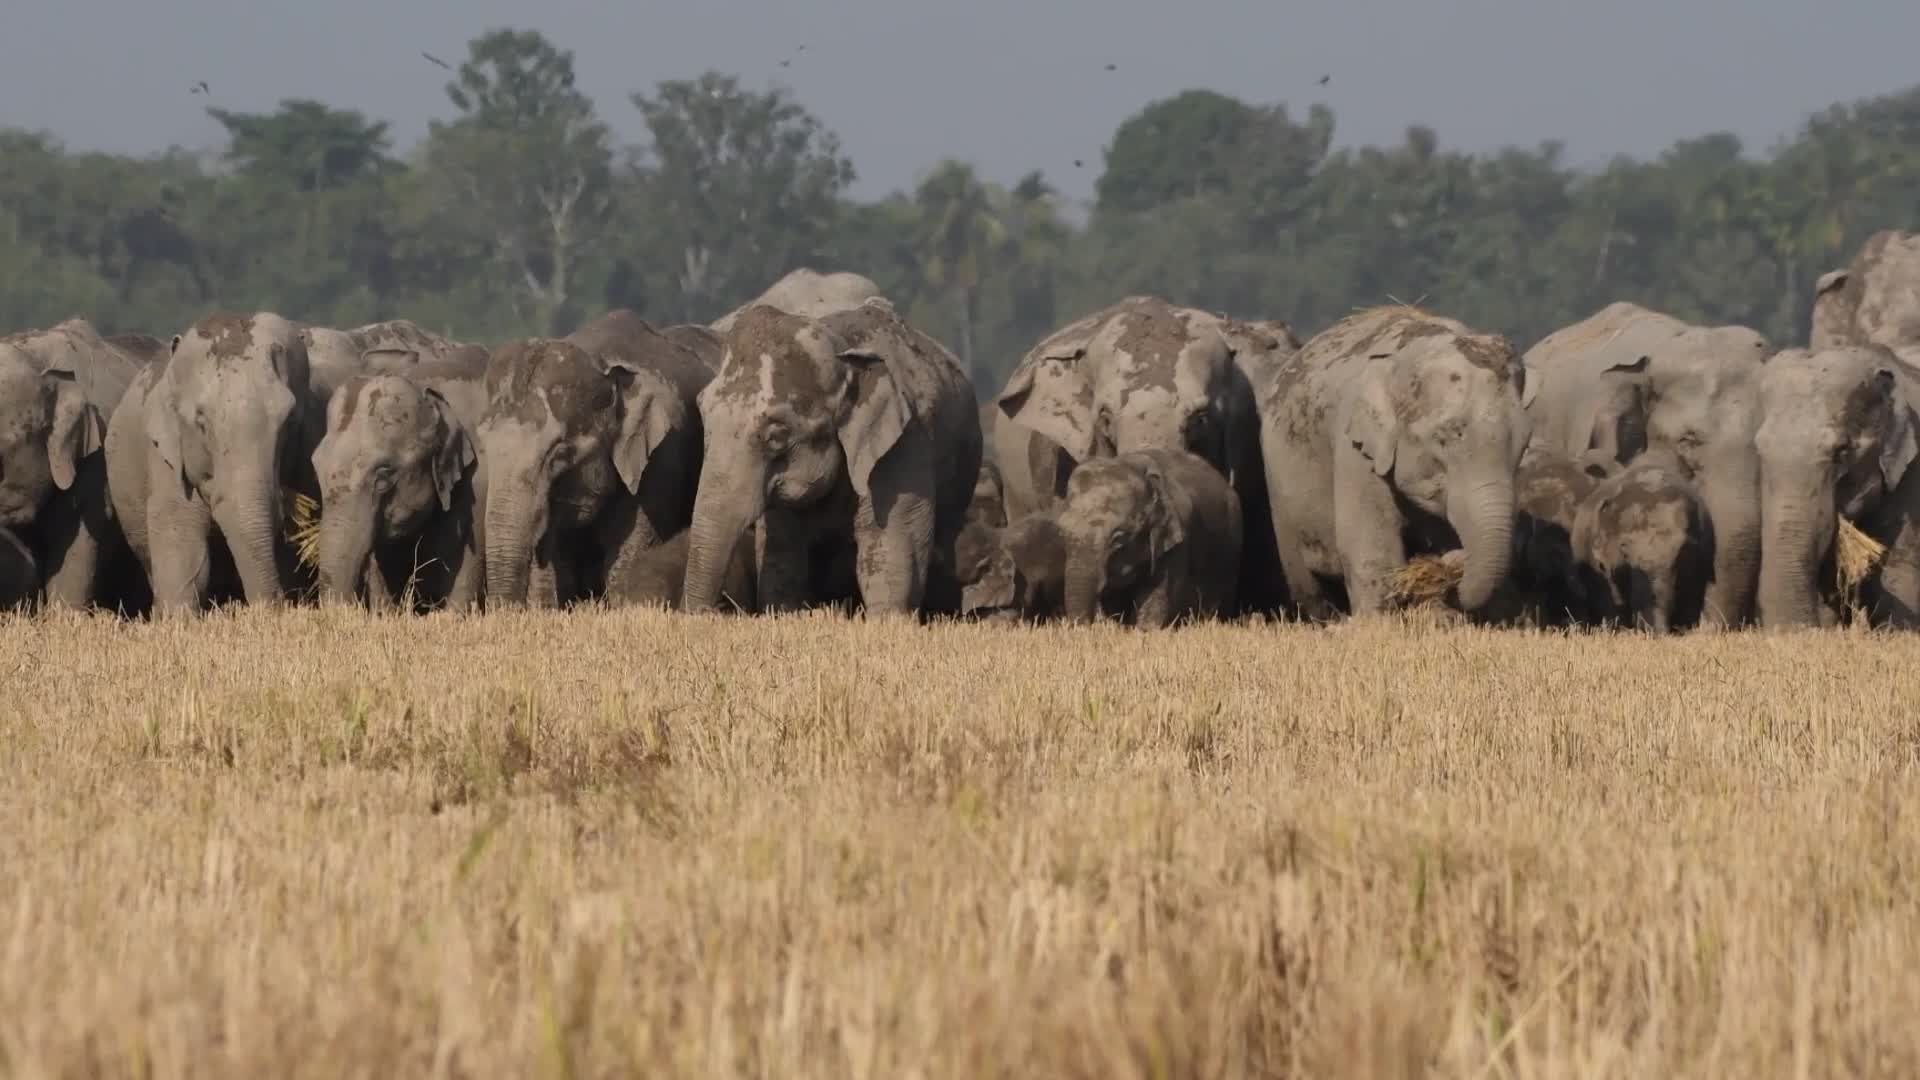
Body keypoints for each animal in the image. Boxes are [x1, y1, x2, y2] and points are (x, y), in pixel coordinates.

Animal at [680, 298, 982, 617]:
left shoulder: (906, 443)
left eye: (776, 437)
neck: (843, 352)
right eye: (702, 414)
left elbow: (889, 549)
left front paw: (890, 619)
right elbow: (782, 556)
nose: (711, 612)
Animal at [1260, 305, 1533, 620]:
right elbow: (1370, 545)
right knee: (1308, 583)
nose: (1453, 558)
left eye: (1525, 443)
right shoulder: (1355, 449)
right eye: (1443, 437)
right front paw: (1378, 621)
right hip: (1279, 490)